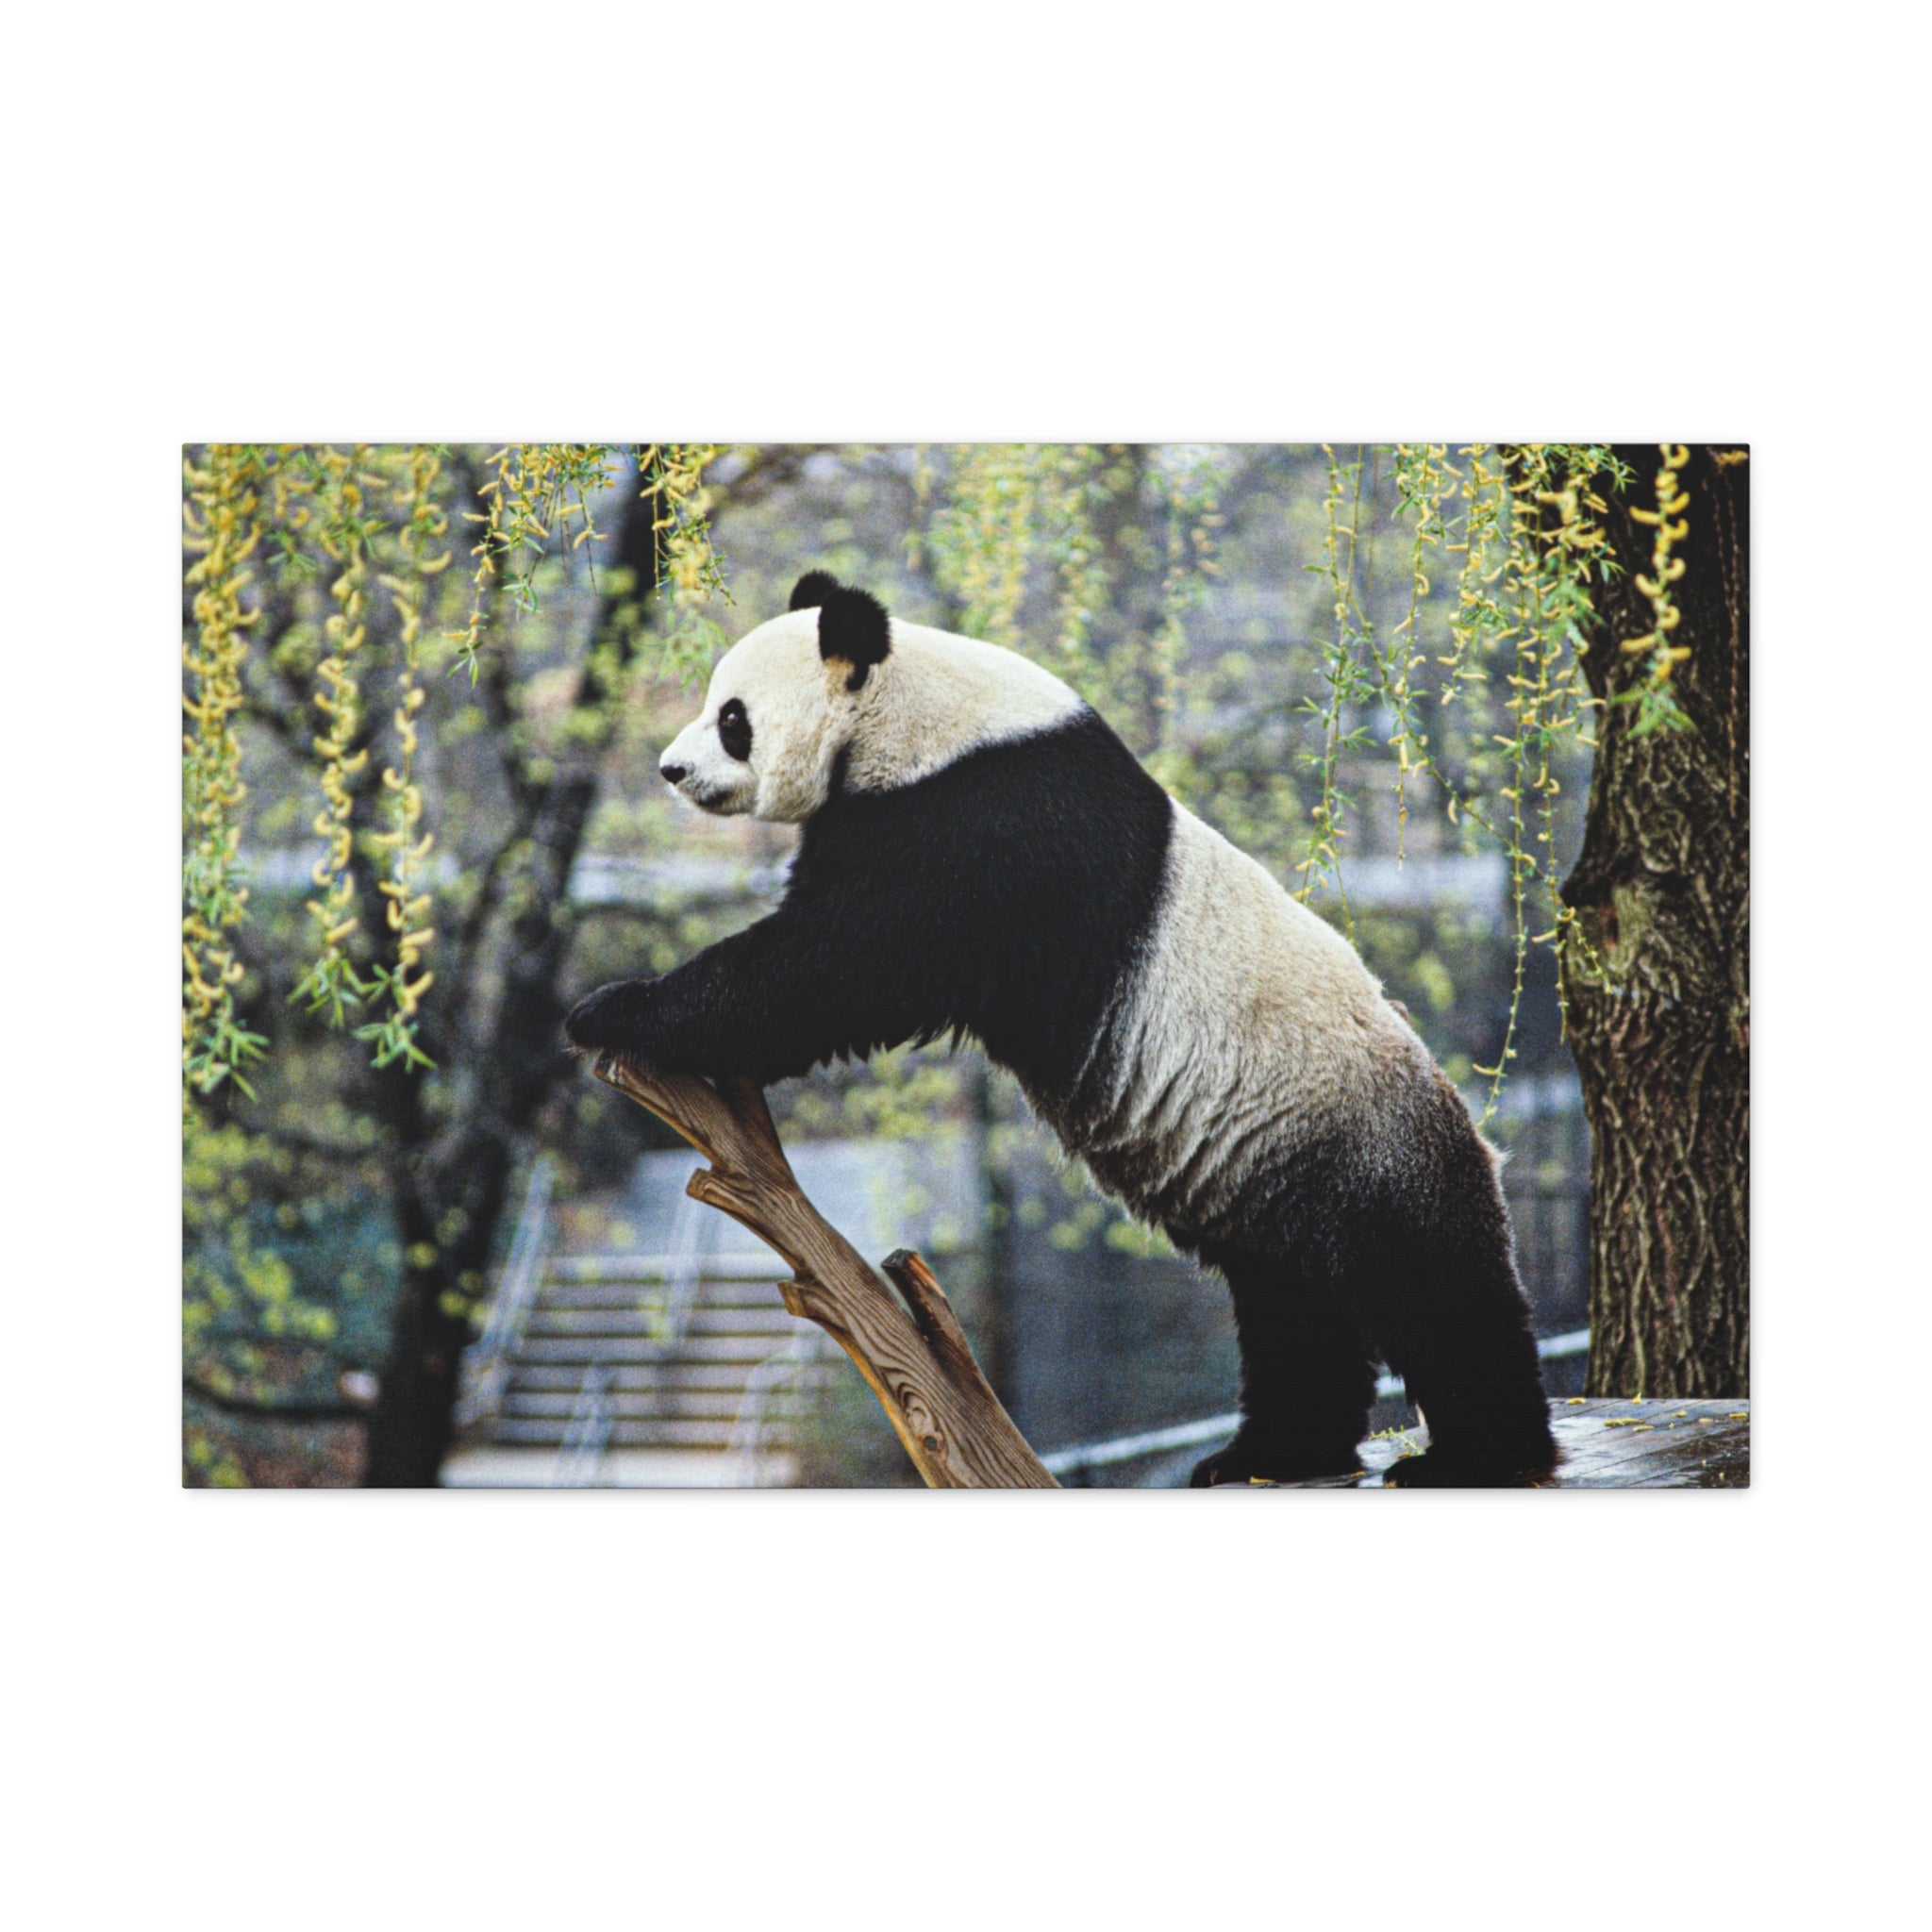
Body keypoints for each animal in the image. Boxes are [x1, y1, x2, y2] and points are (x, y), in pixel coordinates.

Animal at [566, 571, 1557, 1487]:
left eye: (732, 717)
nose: (671, 770)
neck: (915, 712)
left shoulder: (982, 822)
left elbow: (838, 965)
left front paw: (614, 1009)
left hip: (1359, 1140)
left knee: (1431, 1286)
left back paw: (1479, 1455)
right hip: (1273, 1172)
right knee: (1292, 1307)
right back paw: (1268, 1453)